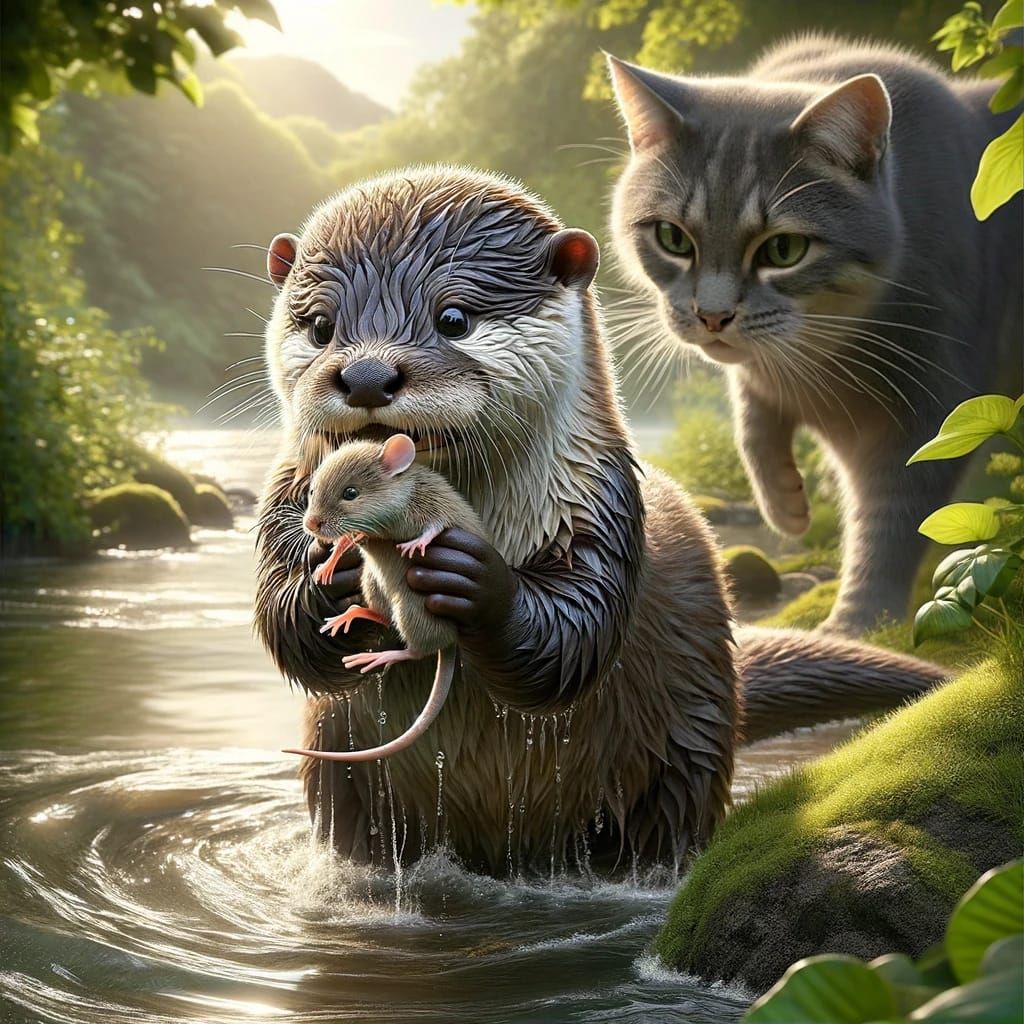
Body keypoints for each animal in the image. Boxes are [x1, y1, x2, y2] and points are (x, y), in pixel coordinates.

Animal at [254, 166, 946, 875]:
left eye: (454, 318)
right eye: (320, 327)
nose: (367, 375)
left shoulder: (601, 506)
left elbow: (577, 634)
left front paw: (473, 578)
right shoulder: (285, 495)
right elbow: (282, 624)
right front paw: (326, 577)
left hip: (686, 740)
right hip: (341, 776)